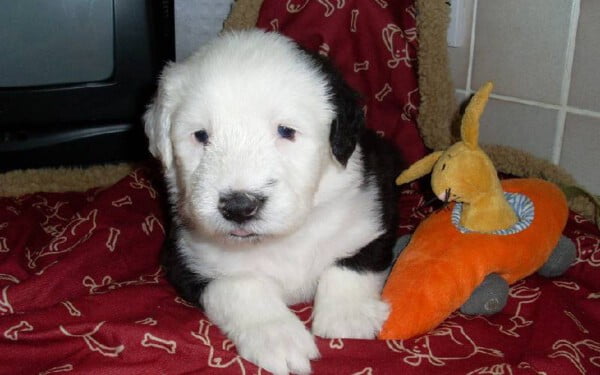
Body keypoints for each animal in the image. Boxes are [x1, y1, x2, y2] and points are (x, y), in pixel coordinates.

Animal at [144, 27, 400, 374]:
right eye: (200, 135)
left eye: (286, 130)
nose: (239, 206)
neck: (281, 239)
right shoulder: (185, 256)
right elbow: (241, 286)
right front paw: (279, 338)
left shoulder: (373, 208)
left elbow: (354, 260)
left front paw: (348, 317)